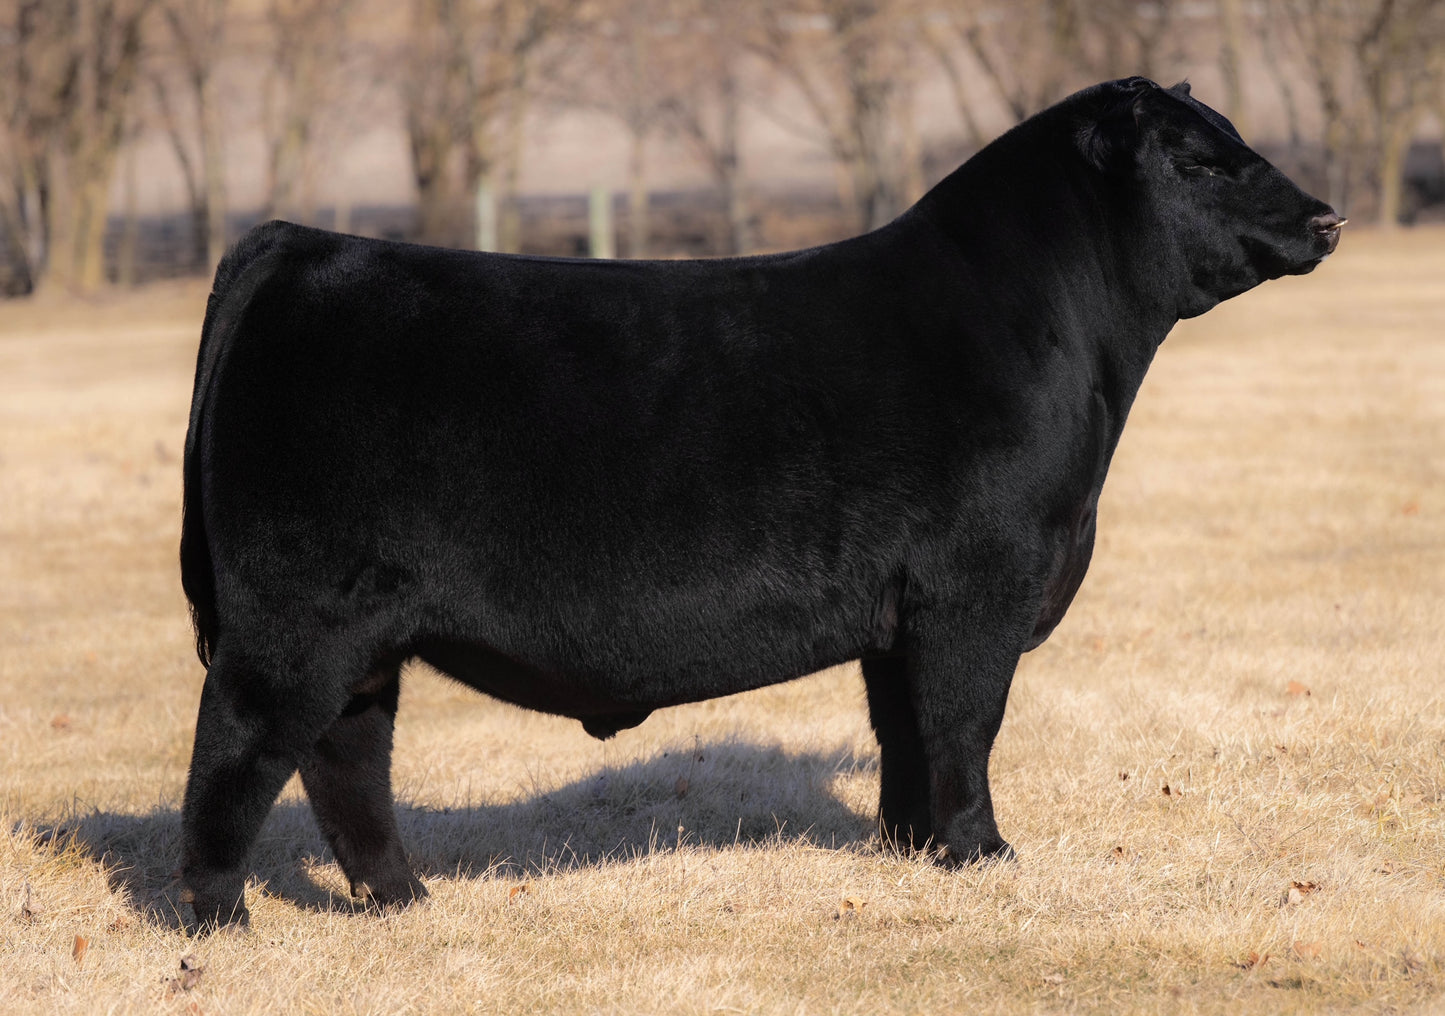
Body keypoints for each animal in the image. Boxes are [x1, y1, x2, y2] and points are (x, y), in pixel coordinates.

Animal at [177, 77, 1343, 927]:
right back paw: (217, 918)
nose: (1325, 217)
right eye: (1197, 161)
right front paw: (981, 853)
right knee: (239, 747)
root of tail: (301, 243)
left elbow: (904, 731)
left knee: (346, 759)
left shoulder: (898, 610)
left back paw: (402, 899)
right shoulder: (975, 588)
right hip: (295, 620)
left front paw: (909, 847)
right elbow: (965, 722)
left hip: (362, 636)